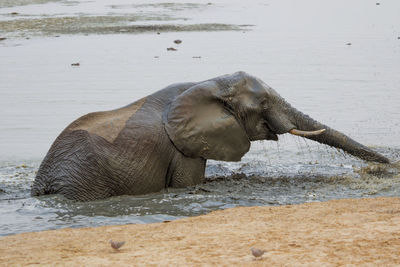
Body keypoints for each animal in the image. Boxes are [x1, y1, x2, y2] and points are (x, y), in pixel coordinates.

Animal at [32, 72, 390, 202]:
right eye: (263, 104)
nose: (388, 165)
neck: (211, 83)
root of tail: (42, 180)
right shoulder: (181, 150)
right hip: (84, 180)